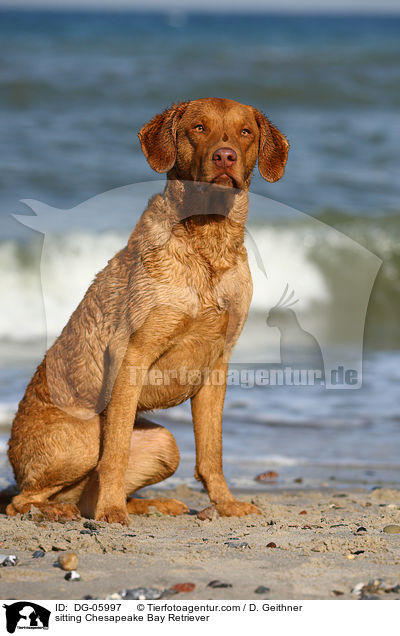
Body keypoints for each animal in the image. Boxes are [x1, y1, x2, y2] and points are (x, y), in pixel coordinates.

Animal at [6, 98, 288, 528]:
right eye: (198, 127)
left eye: (246, 132)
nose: (225, 156)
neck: (208, 241)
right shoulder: (131, 356)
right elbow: (116, 451)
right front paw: (112, 513)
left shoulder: (217, 364)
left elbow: (212, 452)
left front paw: (225, 504)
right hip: (82, 439)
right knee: (22, 500)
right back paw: (61, 511)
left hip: (163, 442)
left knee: (83, 495)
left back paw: (151, 504)